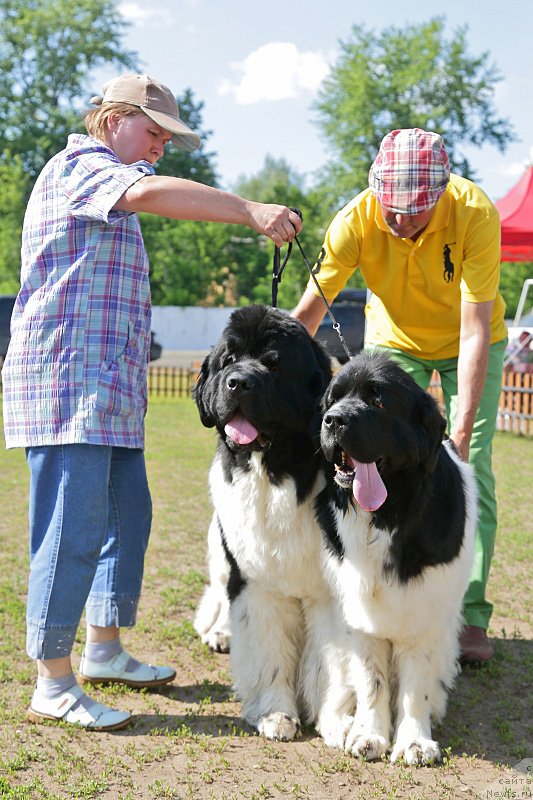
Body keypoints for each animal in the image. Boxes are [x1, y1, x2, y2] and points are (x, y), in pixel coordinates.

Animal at [191, 304, 354, 740]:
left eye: (274, 365)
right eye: (228, 360)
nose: (237, 382)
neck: (274, 474)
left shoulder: (330, 591)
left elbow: (332, 663)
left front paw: (335, 720)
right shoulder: (254, 580)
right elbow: (266, 650)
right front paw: (275, 714)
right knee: (219, 593)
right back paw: (220, 632)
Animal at [318, 354, 476, 764]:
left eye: (378, 402)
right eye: (332, 399)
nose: (333, 420)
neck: (388, 516)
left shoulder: (424, 609)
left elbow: (415, 686)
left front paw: (415, 741)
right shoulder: (360, 614)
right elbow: (371, 682)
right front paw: (367, 735)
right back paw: (342, 724)